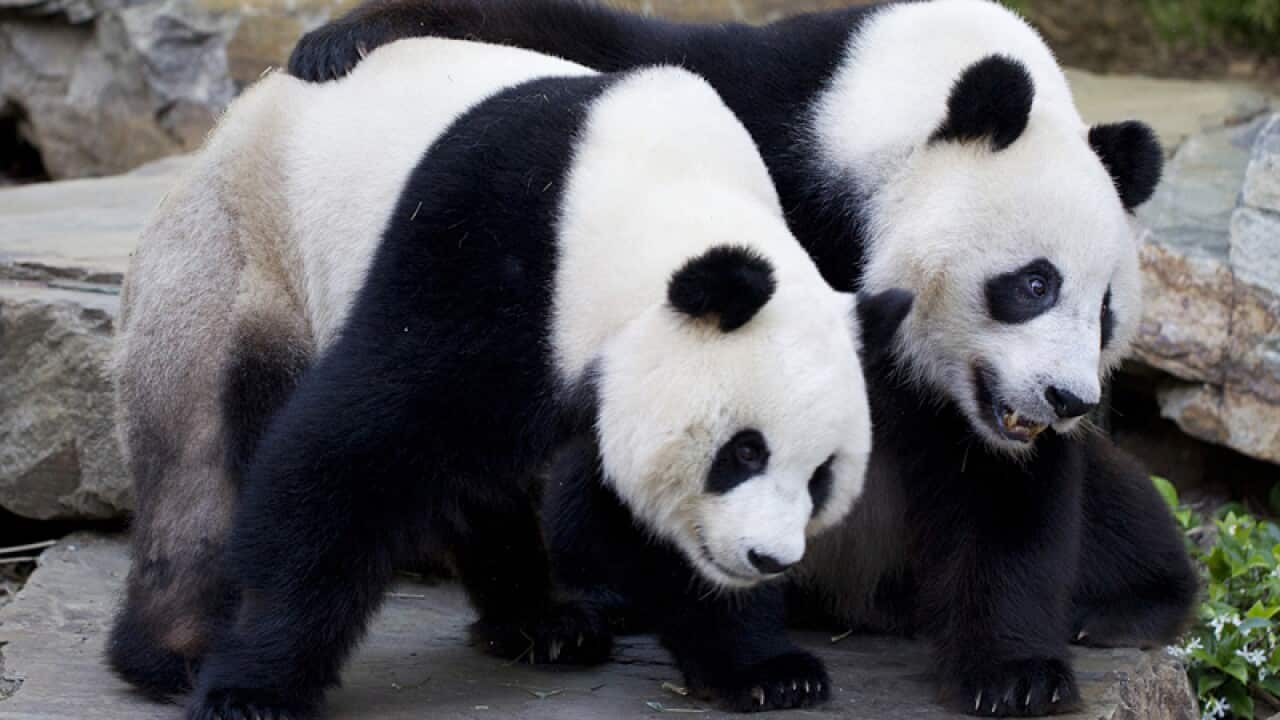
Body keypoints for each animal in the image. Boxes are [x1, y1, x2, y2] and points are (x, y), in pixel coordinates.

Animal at [107, 37, 914, 719]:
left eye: (821, 476)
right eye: (744, 451)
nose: (767, 559)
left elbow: (629, 512)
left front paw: (768, 670)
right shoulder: (488, 248)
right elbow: (345, 457)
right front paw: (254, 688)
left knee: (476, 480)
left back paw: (545, 622)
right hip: (238, 259)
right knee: (201, 464)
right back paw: (177, 654)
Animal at [288, 0, 1200, 716]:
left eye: (1108, 313)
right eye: (1034, 283)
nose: (1068, 399)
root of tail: (857, 595)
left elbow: (1007, 490)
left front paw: (1017, 674)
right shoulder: (772, 124)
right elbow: (614, 50)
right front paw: (348, 38)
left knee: (1118, 511)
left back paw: (1124, 606)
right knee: (586, 502)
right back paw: (602, 597)